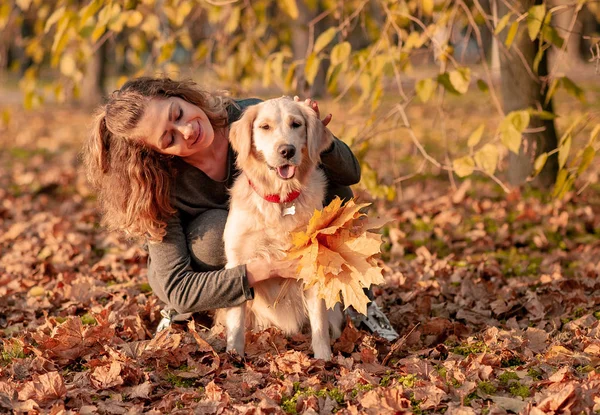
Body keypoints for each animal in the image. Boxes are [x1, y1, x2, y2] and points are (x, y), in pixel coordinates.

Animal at [219, 97, 342, 360]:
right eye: (265, 127)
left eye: (296, 124)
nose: (287, 150)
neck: (281, 199)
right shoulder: (237, 261)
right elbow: (236, 322)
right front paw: (234, 356)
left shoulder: (312, 264)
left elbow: (319, 323)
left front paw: (324, 358)